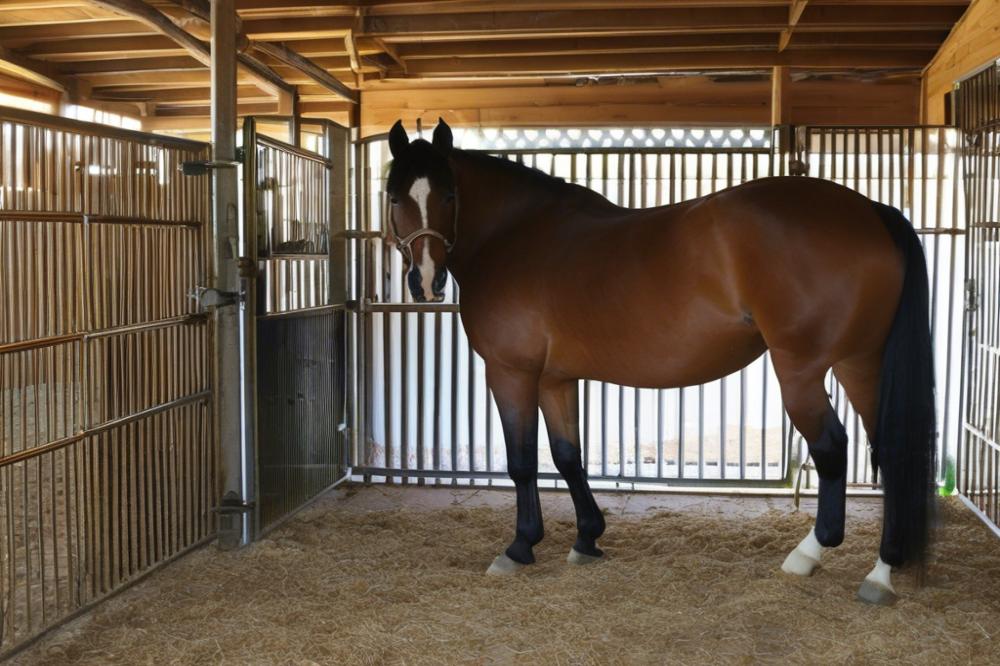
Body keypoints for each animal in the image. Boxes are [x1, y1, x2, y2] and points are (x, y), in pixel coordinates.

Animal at [384, 118, 936, 600]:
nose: (426, 282)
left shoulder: (510, 372)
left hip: (802, 371)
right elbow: (567, 456)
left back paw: (814, 556)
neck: (513, 233)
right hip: (860, 362)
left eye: (448, 195)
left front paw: (520, 546)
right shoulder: (555, 379)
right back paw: (881, 570)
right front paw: (587, 538)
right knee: (889, 447)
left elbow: (521, 461)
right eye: (393, 196)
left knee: (832, 448)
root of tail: (869, 209)